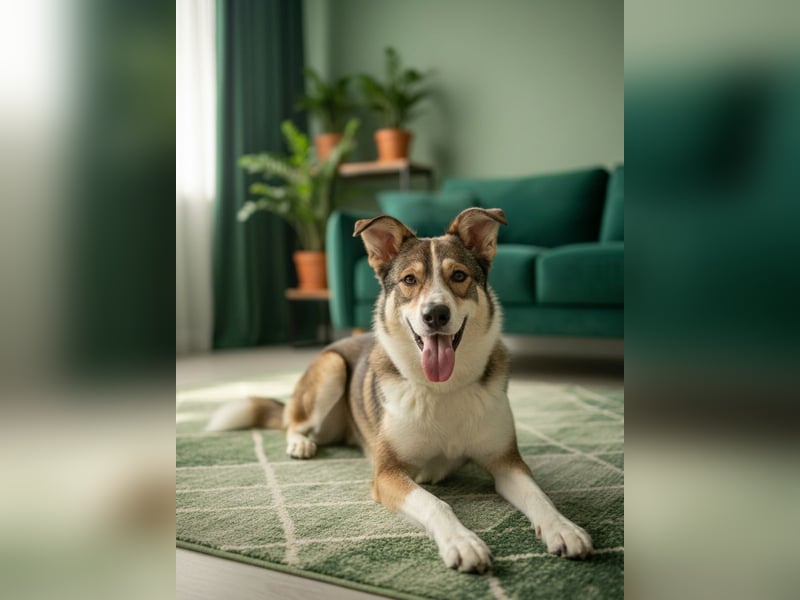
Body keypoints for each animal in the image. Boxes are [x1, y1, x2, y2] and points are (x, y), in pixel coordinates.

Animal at [208, 207, 593, 573]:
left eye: (459, 276)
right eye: (410, 280)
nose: (435, 314)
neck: (442, 388)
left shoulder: (506, 462)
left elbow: (539, 496)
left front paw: (563, 528)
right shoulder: (387, 474)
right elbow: (435, 503)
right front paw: (463, 542)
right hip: (331, 370)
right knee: (293, 421)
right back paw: (301, 444)